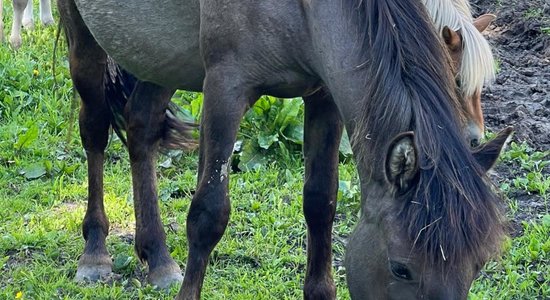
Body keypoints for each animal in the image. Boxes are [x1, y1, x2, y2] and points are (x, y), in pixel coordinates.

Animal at [57, 0, 512, 298]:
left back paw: (158, 258)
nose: (473, 135)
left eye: (477, 267)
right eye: (402, 269)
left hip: (160, 54)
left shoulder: (324, 96)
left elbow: (321, 204)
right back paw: (94, 253)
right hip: (86, 38)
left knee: (141, 129)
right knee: (94, 130)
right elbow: (207, 215)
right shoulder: (225, 87)